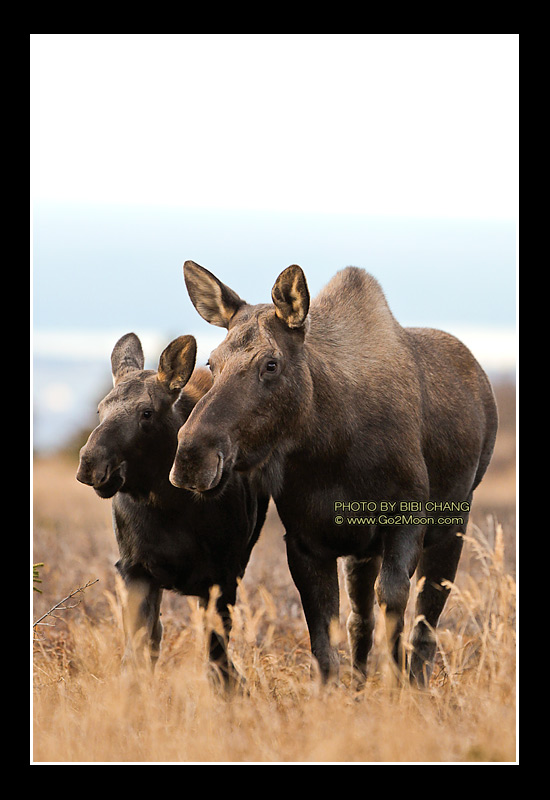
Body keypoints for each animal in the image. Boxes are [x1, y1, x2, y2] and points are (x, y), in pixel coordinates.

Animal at [76, 332, 268, 686]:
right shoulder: (134, 569)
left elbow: (218, 660)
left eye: (147, 413)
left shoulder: (223, 576)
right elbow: (138, 651)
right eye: (99, 409)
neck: (170, 506)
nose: (92, 464)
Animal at [169, 261, 498, 687]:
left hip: (453, 524)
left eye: (271, 364)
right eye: (211, 362)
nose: (192, 456)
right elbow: (327, 641)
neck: (329, 446)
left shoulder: (408, 520)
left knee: (426, 621)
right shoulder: (307, 541)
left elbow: (395, 608)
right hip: (363, 550)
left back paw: (418, 684)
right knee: (361, 621)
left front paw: (396, 688)